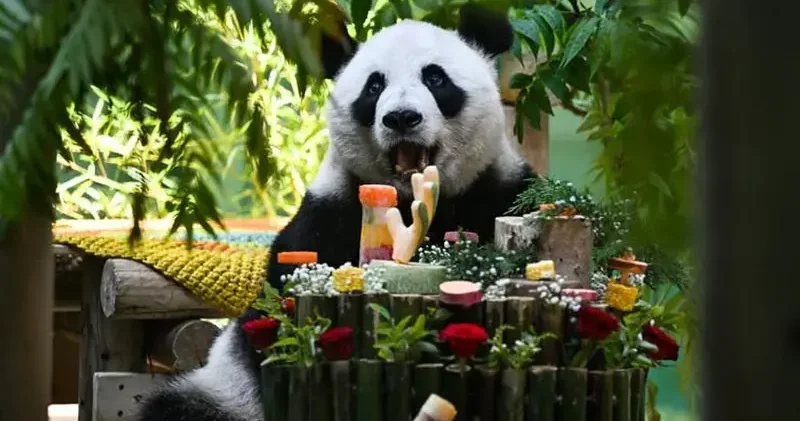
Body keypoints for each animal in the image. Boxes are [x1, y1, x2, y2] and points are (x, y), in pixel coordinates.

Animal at [138, 5, 534, 421]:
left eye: (436, 77)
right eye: (374, 87)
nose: (402, 117)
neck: (408, 198)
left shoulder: (498, 191)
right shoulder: (328, 214)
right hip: (222, 392)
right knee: (180, 406)